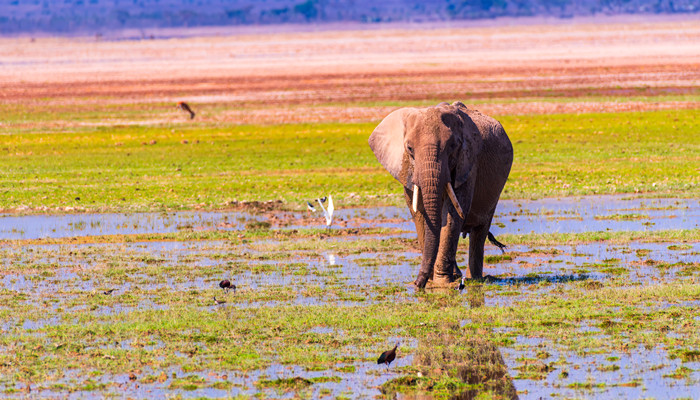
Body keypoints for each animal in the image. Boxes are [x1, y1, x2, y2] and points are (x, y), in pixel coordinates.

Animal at [370, 100, 512, 288]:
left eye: (452, 147)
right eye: (409, 148)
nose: (417, 284)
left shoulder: (468, 164)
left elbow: (452, 214)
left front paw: (442, 282)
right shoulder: (406, 169)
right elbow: (419, 214)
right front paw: (434, 280)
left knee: (480, 231)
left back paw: (474, 279)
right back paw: (460, 276)